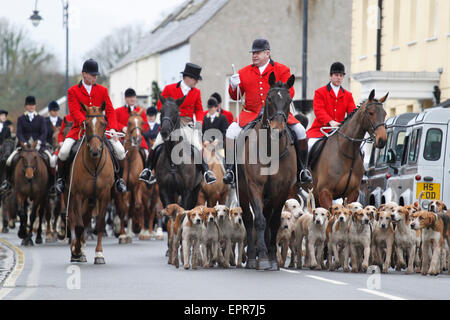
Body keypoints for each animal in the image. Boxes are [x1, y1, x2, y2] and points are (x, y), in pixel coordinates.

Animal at [64, 104, 114, 264]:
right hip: (71, 196)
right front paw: (76, 251)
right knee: (74, 219)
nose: (95, 150)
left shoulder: (104, 195)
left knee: (86, 219)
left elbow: (99, 224)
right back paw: (77, 248)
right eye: (86, 124)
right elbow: (79, 226)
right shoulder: (78, 195)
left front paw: (99, 254)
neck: (94, 164)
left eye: (103, 124)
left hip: (91, 199)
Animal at [237, 72, 298, 270]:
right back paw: (252, 257)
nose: (277, 130)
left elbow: (274, 221)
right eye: (269, 99)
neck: (271, 149)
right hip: (243, 192)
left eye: (289, 100)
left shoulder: (282, 190)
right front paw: (262, 257)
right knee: (249, 219)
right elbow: (260, 220)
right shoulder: (254, 187)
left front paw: (271, 258)